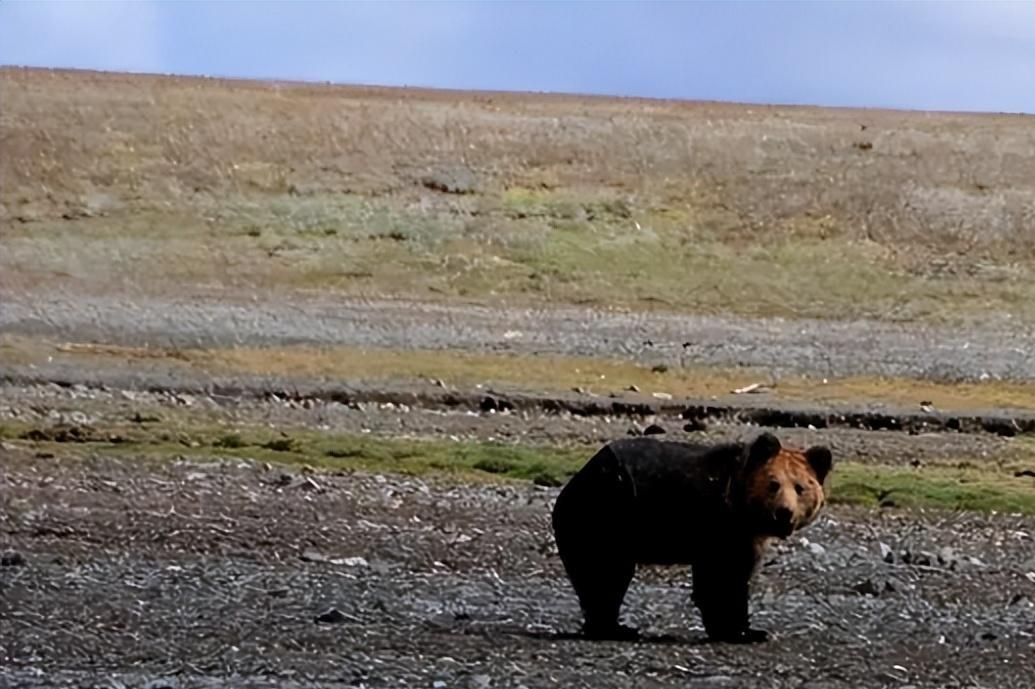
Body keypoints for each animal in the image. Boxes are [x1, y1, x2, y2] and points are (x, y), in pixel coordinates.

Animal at [550, 432, 832, 641]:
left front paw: (747, 628)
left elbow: (737, 575)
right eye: (773, 484)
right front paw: (739, 631)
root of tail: (576, 480)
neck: (744, 510)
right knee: (604, 575)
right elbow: (722, 579)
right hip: (606, 517)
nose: (784, 512)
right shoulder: (719, 523)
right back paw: (615, 628)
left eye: (800, 488)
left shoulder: (746, 536)